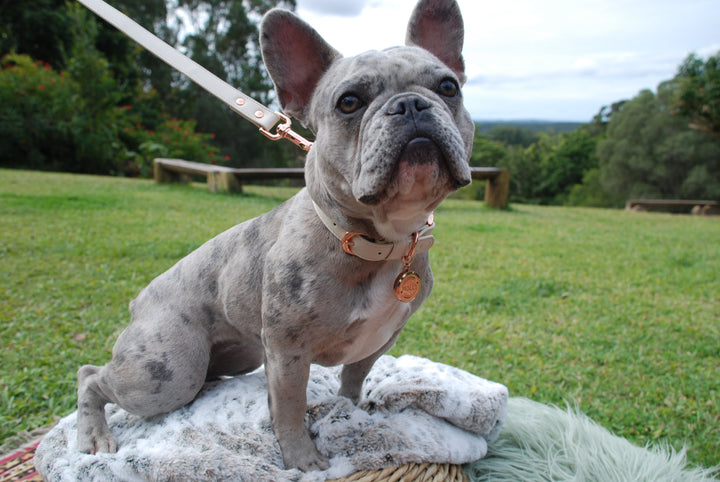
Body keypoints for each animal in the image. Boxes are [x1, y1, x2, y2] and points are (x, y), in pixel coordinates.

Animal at [77, 0, 472, 468]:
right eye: (349, 103)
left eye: (448, 87)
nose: (411, 104)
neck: (377, 240)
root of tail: (139, 302)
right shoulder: (287, 354)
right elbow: (289, 407)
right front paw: (304, 460)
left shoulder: (378, 340)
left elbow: (353, 380)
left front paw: (349, 413)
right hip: (167, 372)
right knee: (92, 377)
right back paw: (94, 435)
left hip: (239, 355)